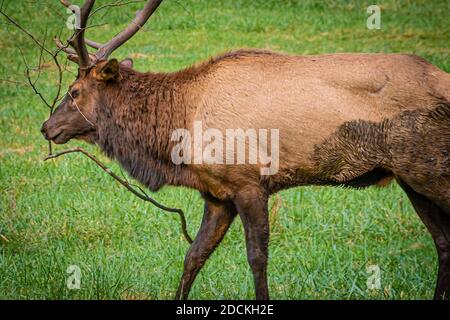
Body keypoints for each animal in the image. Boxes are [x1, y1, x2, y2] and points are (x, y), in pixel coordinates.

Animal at [38, 0, 450, 300]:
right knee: (443, 240)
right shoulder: (217, 193)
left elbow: (257, 258)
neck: (180, 130)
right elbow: (193, 256)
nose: (47, 127)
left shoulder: (250, 182)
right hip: (412, 176)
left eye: (74, 92)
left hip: (428, 169)